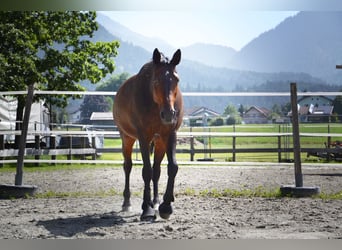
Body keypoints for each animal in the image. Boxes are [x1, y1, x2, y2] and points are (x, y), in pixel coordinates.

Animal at [113, 48, 183, 221]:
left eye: (176, 80)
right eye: (156, 81)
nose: (169, 114)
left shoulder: (170, 134)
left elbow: (172, 167)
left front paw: (166, 206)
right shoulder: (143, 137)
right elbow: (146, 171)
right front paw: (147, 208)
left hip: (159, 142)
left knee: (157, 170)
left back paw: (156, 202)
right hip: (127, 138)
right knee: (128, 166)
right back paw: (127, 203)